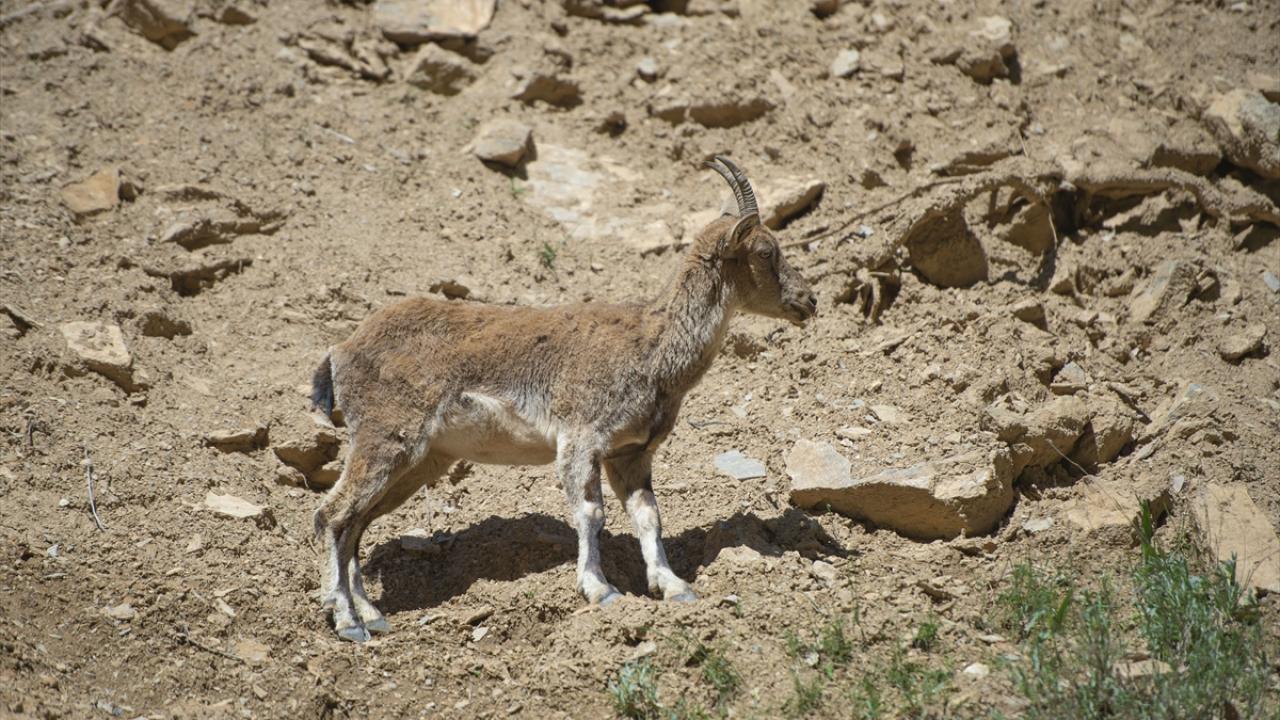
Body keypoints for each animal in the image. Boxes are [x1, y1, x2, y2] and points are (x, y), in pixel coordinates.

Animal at [310, 156, 817, 641]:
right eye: (765, 251)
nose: (809, 300)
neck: (651, 348)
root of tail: (340, 351)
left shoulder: (631, 454)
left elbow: (648, 516)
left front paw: (673, 587)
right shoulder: (581, 438)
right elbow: (591, 513)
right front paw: (601, 589)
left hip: (422, 461)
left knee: (355, 523)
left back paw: (372, 615)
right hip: (386, 437)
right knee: (331, 515)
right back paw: (347, 621)